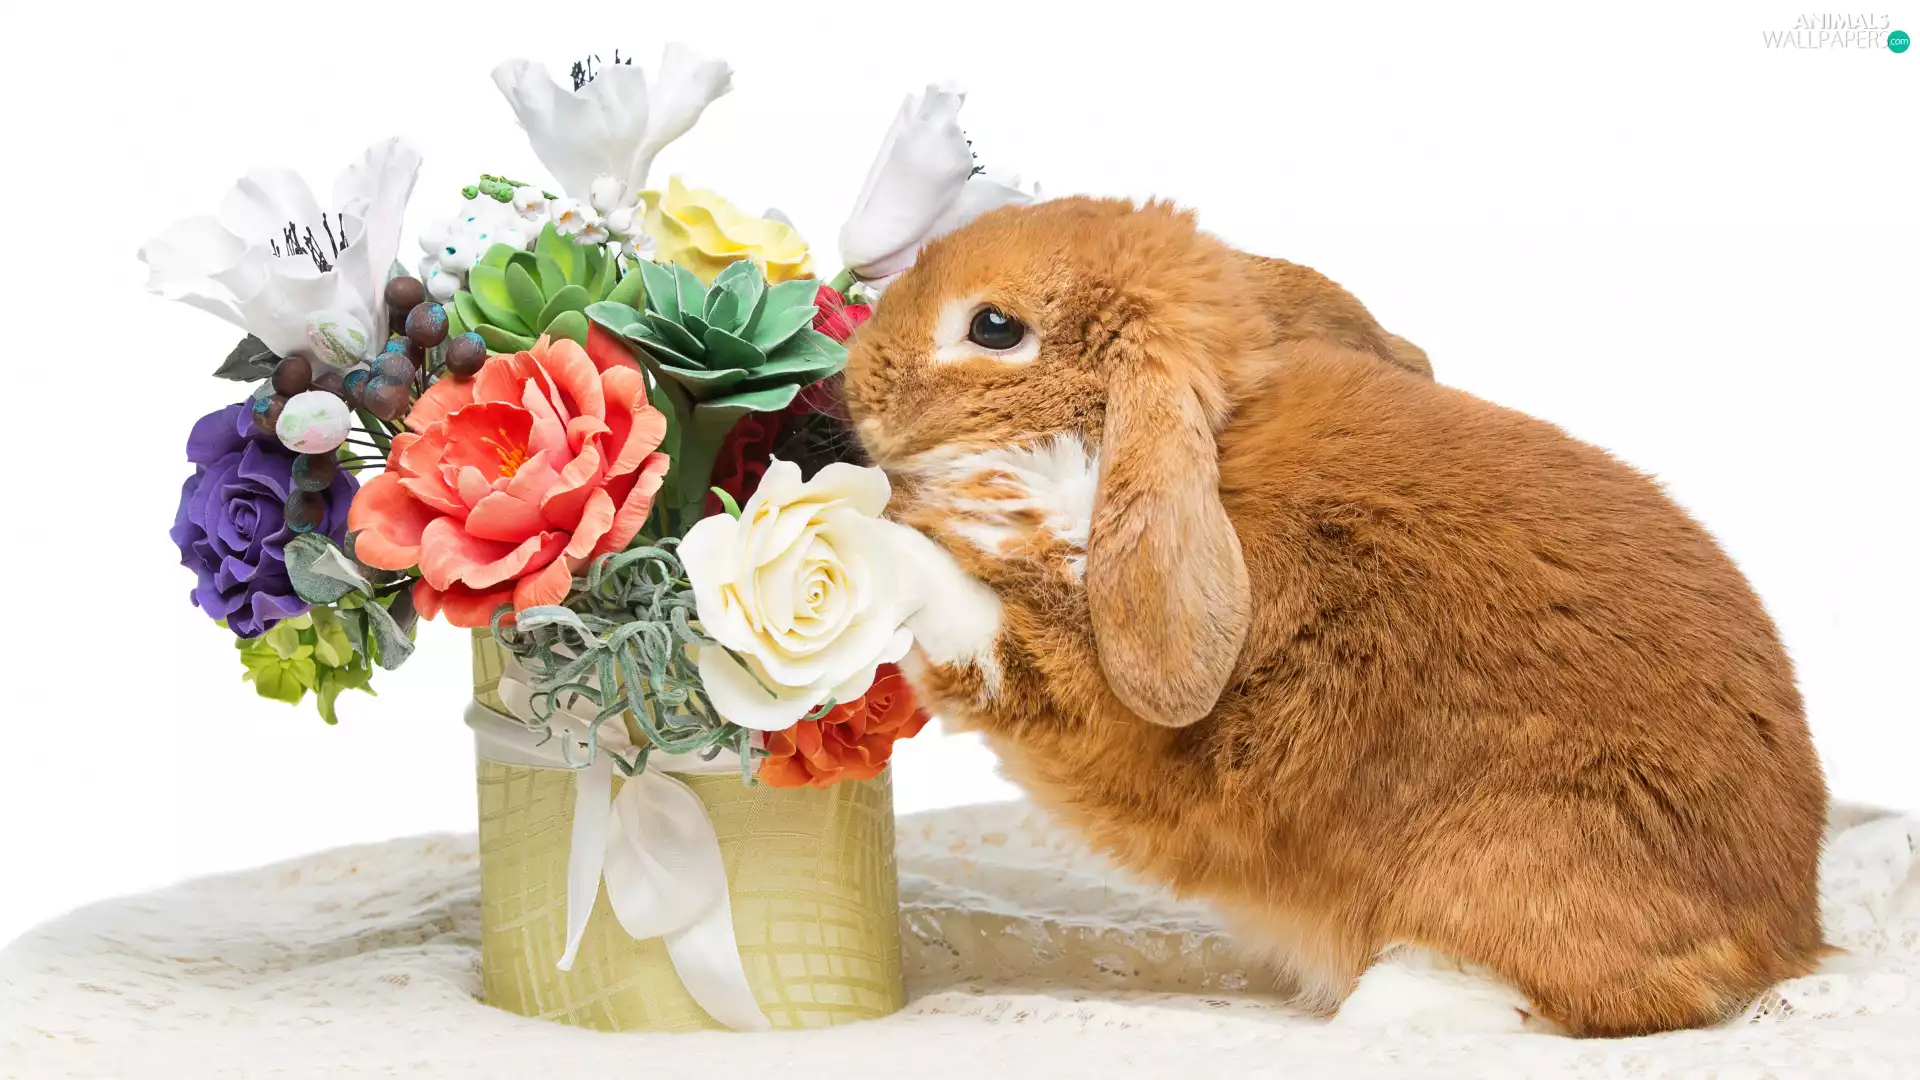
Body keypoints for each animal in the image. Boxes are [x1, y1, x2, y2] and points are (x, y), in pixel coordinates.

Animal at [843, 196, 1829, 1037]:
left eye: (993, 328)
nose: (857, 375)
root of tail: (1786, 934)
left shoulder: (1075, 683)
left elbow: (960, 610)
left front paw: (865, 538)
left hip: (1512, 854)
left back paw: (1391, 1003)